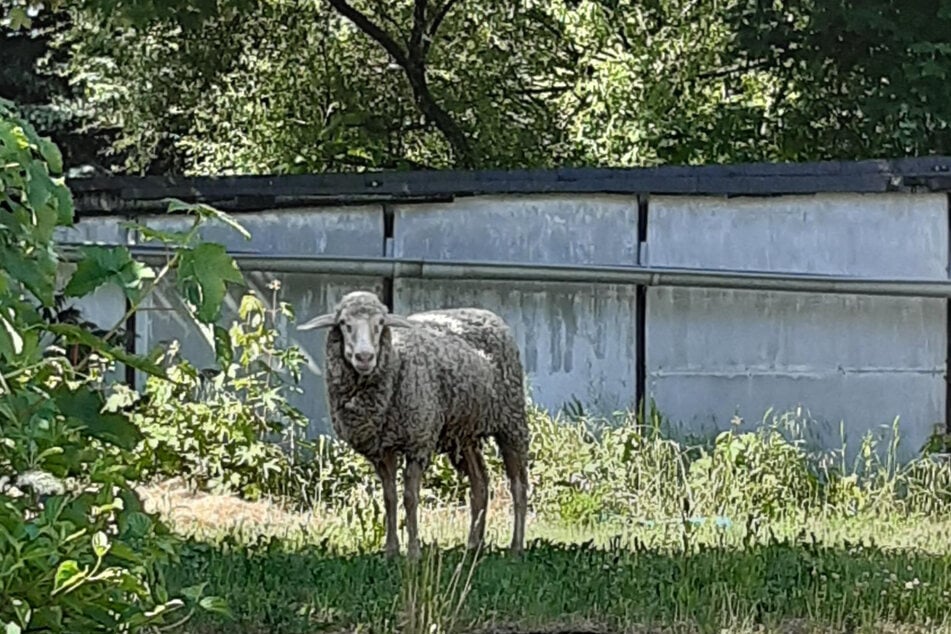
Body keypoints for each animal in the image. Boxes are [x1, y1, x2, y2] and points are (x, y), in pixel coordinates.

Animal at [297, 290, 530, 558]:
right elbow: (389, 497)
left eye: (380, 323)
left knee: (518, 486)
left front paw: (413, 552)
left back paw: (516, 546)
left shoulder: (418, 441)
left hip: (511, 421)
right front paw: (390, 550)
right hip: (464, 433)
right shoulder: (381, 449)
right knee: (480, 484)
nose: (365, 357)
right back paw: (473, 545)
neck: (396, 364)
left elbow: (410, 497)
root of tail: (485, 313)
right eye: (344, 324)